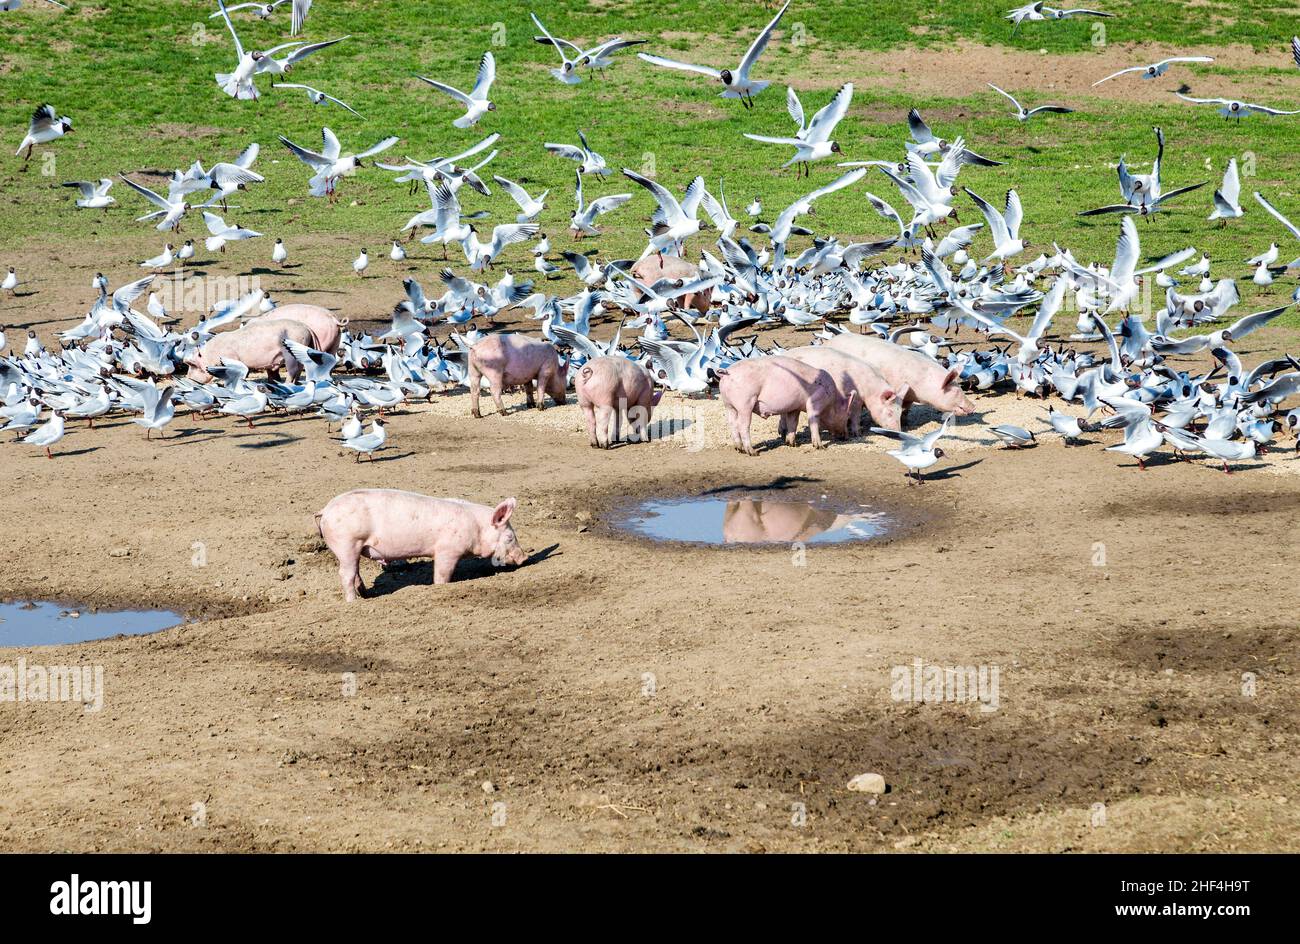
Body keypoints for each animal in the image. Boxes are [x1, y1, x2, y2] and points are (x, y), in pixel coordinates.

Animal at [184, 318, 315, 384]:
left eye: (193, 366)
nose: (188, 379)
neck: (211, 355)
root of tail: (307, 328)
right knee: (300, 368)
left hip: (290, 353)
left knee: (293, 370)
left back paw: (287, 384)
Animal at [314, 491, 527, 603]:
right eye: (509, 537)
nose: (524, 557)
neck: (477, 528)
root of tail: (325, 510)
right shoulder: (447, 550)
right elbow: (442, 575)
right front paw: (441, 587)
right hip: (346, 543)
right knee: (346, 574)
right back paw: (353, 602)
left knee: (356, 573)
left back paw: (368, 596)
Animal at [712, 356, 842, 457]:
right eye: (845, 417)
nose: (843, 437)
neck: (832, 401)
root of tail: (728, 372)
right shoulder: (814, 403)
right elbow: (813, 422)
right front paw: (820, 447)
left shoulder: (794, 408)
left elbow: (793, 423)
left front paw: (792, 444)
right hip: (745, 403)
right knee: (743, 426)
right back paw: (753, 452)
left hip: (728, 405)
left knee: (732, 424)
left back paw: (739, 449)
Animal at [821, 335, 977, 418]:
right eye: (956, 391)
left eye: (960, 389)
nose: (974, 406)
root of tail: (828, 341)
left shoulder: (909, 397)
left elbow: (906, 409)